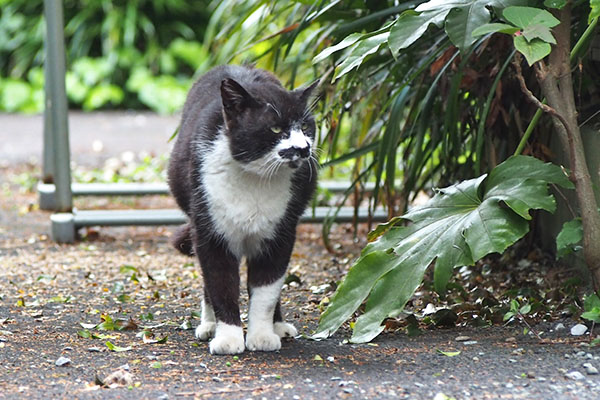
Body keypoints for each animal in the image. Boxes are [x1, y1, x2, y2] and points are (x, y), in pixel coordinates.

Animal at [169, 65, 318, 354]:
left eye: (305, 126)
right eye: (275, 128)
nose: (303, 148)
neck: (256, 179)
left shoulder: (281, 234)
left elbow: (267, 290)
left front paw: (261, 335)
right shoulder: (210, 232)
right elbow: (221, 284)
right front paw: (228, 339)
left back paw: (278, 326)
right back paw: (209, 325)